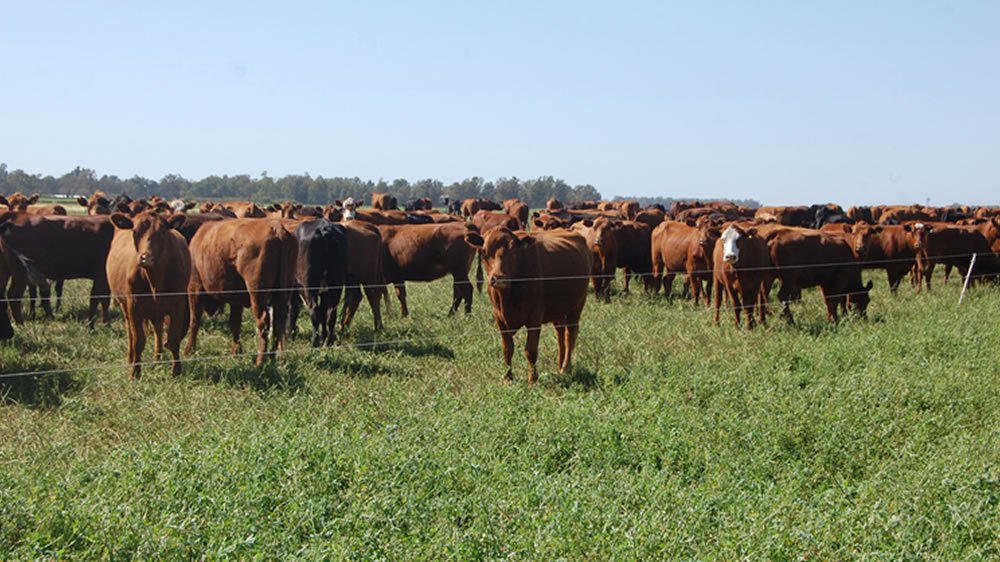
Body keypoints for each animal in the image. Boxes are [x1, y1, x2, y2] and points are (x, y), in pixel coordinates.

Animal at [106, 212, 191, 378]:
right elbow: (138, 340)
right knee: (130, 332)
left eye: (163, 232)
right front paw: (135, 373)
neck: (155, 281)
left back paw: (157, 358)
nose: (146, 258)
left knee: (157, 329)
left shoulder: (178, 304)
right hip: (125, 306)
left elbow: (173, 339)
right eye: (135, 231)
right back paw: (130, 358)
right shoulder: (133, 305)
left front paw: (176, 371)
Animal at [186, 217, 296, 366]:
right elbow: (235, 323)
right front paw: (236, 352)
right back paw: (272, 357)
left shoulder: (194, 288)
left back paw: (260, 361)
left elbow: (194, 321)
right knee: (278, 323)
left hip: (257, 292)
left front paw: (189, 351)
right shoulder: (235, 299)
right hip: (282, 294)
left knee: (263, 321)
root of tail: (276, 228)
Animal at [464, 228, 588, 380]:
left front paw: (532, 380)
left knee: (570, 334)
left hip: (577, 305)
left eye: (513, 251)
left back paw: (566, 368)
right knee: (560, 333)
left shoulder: (535, 317)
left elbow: (531, 350)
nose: (499, 278)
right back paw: (559, 366)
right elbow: (507, 349)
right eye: (483, 252)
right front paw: (507, 378)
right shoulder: (499, 317)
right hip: (558, 310)